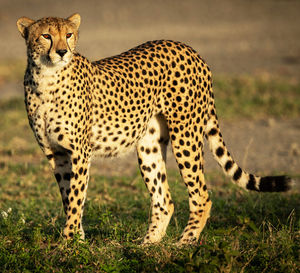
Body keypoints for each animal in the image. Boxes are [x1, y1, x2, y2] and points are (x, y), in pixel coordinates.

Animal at [17, 13, 292, 243]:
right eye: (46, 36)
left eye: (69, 34)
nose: (63, 51)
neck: (46, 78)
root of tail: (189, 49)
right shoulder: (56, 154)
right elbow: (68, 197)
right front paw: (77, 240)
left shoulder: (79, 152)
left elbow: (75, 198)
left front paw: (67, 243)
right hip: (149, 146)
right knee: (164, 200)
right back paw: (147, 245)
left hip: (186, 136)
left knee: (201, 196)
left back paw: (185, 242)